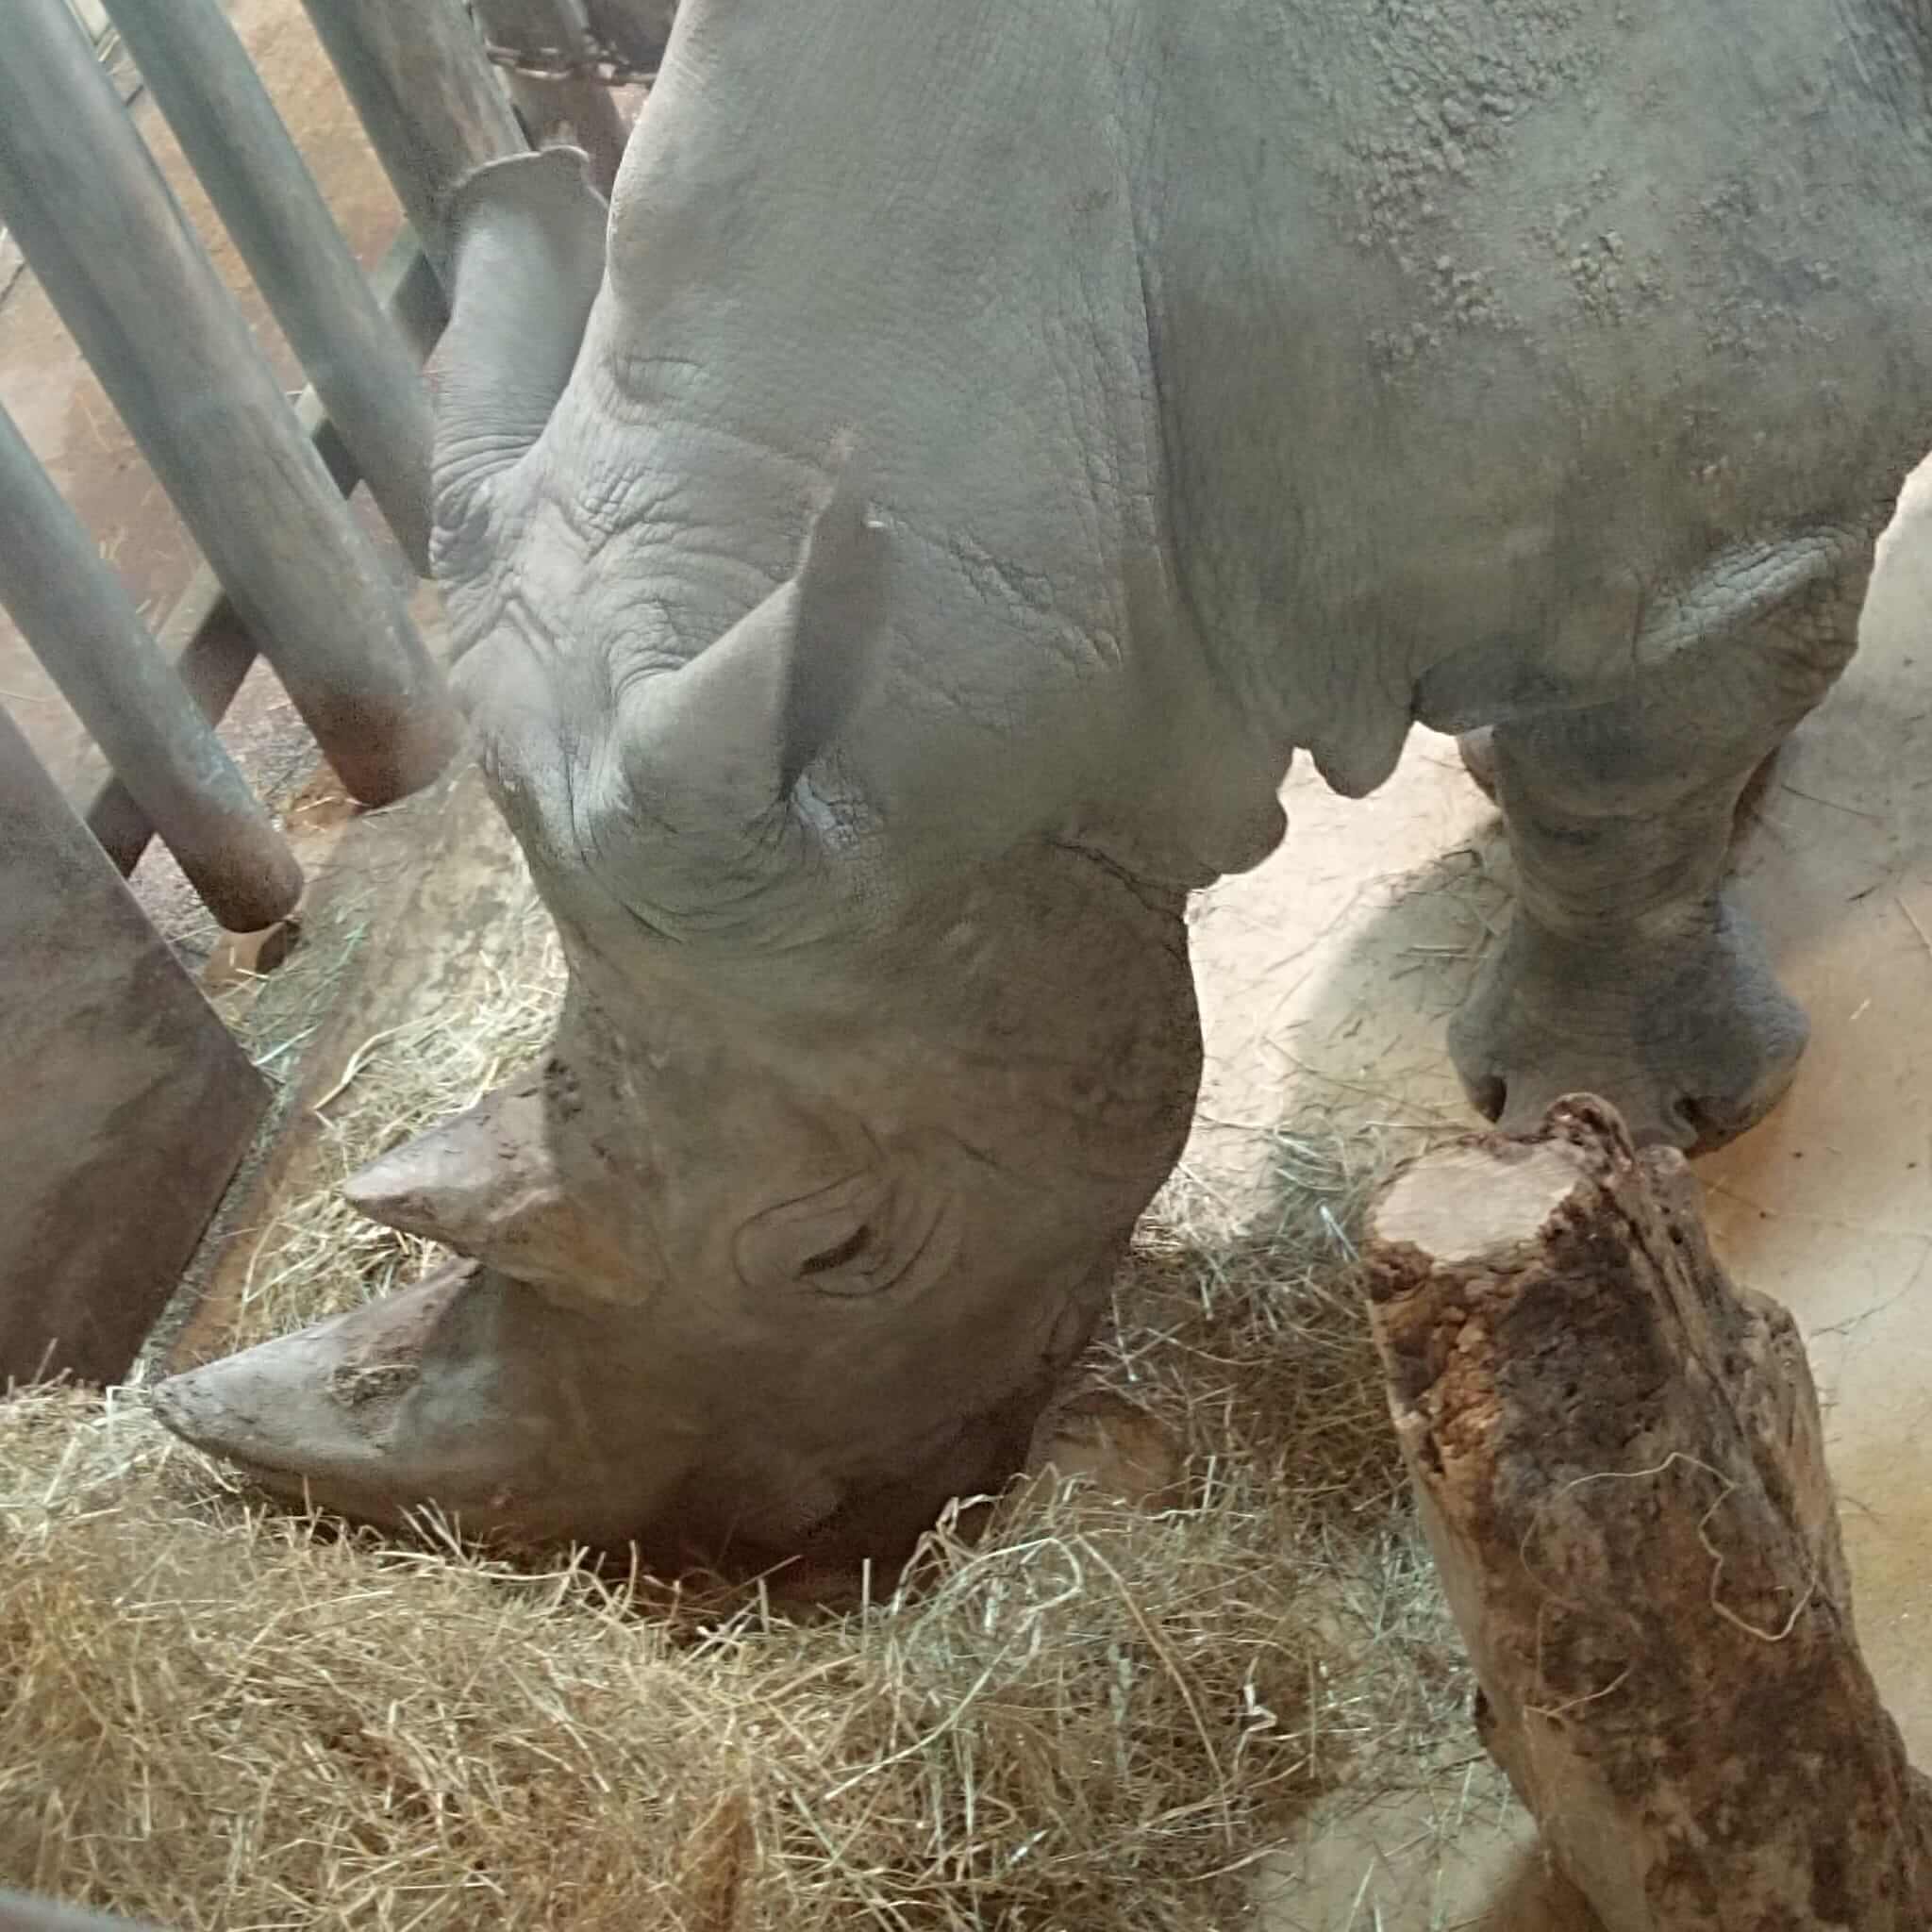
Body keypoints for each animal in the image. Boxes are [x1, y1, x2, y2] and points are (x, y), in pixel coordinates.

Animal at [154, 0, 1932, 1563]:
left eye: (842, 1246)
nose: (763, 1555)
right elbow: (1589, 754)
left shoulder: (1714, 543)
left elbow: (1609, 786)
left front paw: (1601, 1113)